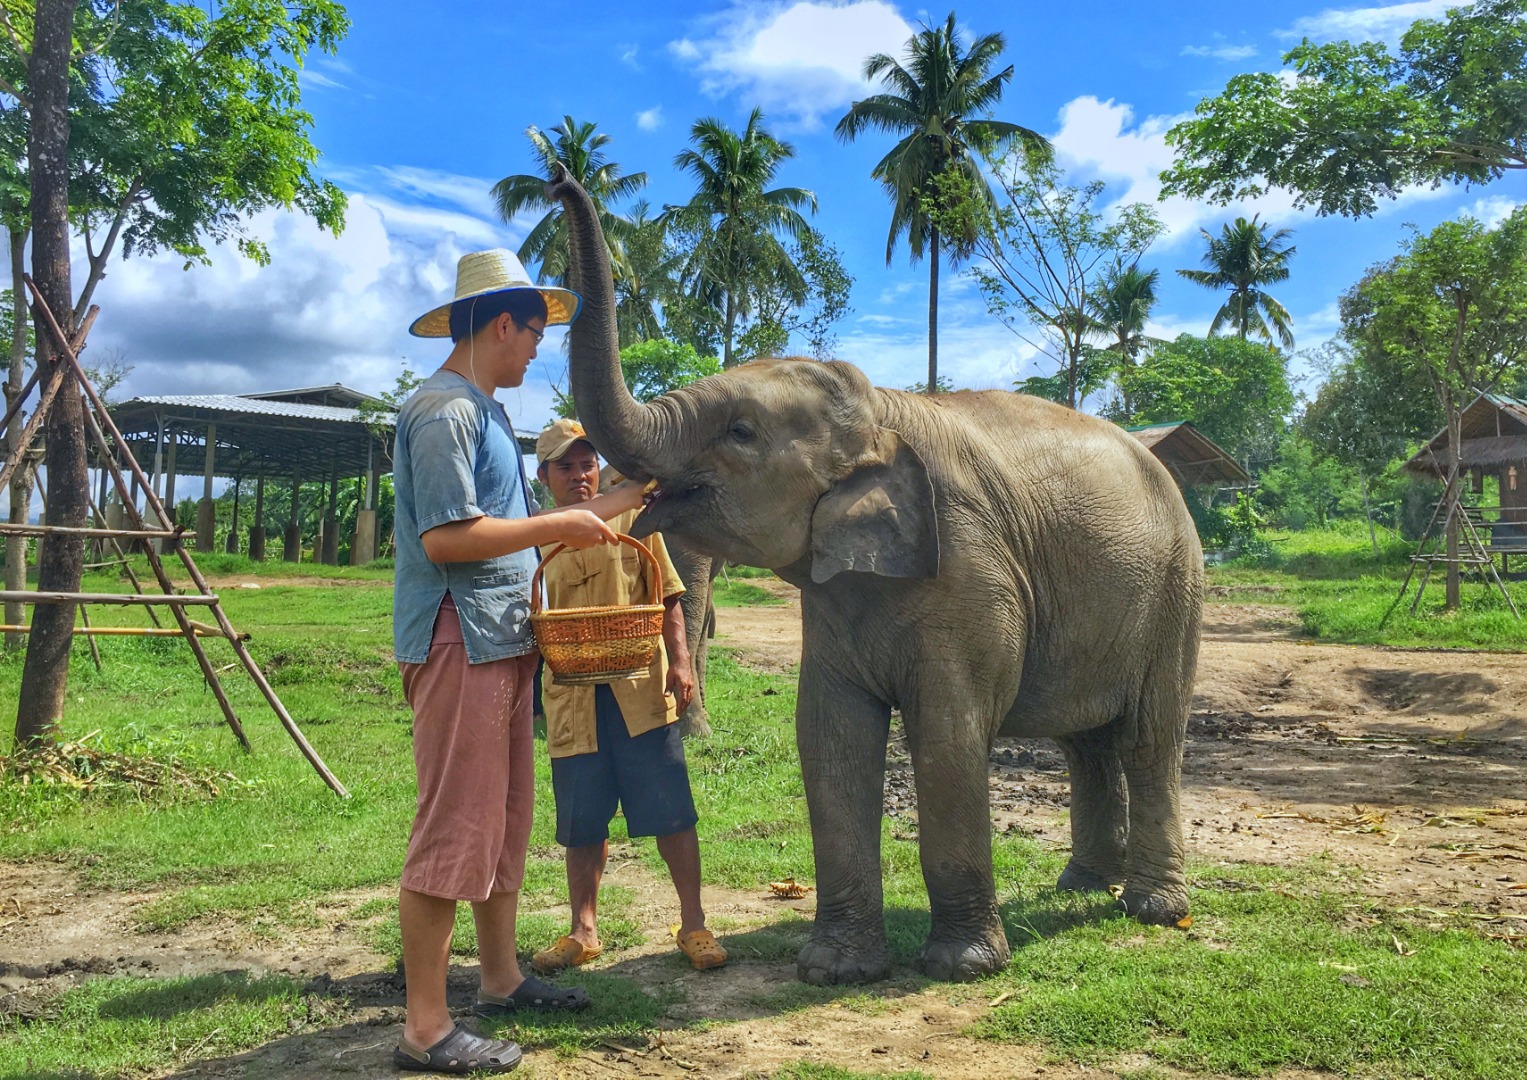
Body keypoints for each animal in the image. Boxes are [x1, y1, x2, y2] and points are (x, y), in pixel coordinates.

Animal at [549, 168, 1203, 989]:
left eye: (740, 433)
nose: (557, 173)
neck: (882, 409)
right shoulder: (837, 598)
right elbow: (828, 733)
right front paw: (833, 969)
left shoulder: (968, 566)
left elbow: (948, 733)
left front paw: (960, 966)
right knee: (1084, 742)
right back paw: (1081, 885)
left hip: (1176, 588)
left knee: (1149, 734)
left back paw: (1152, 909)